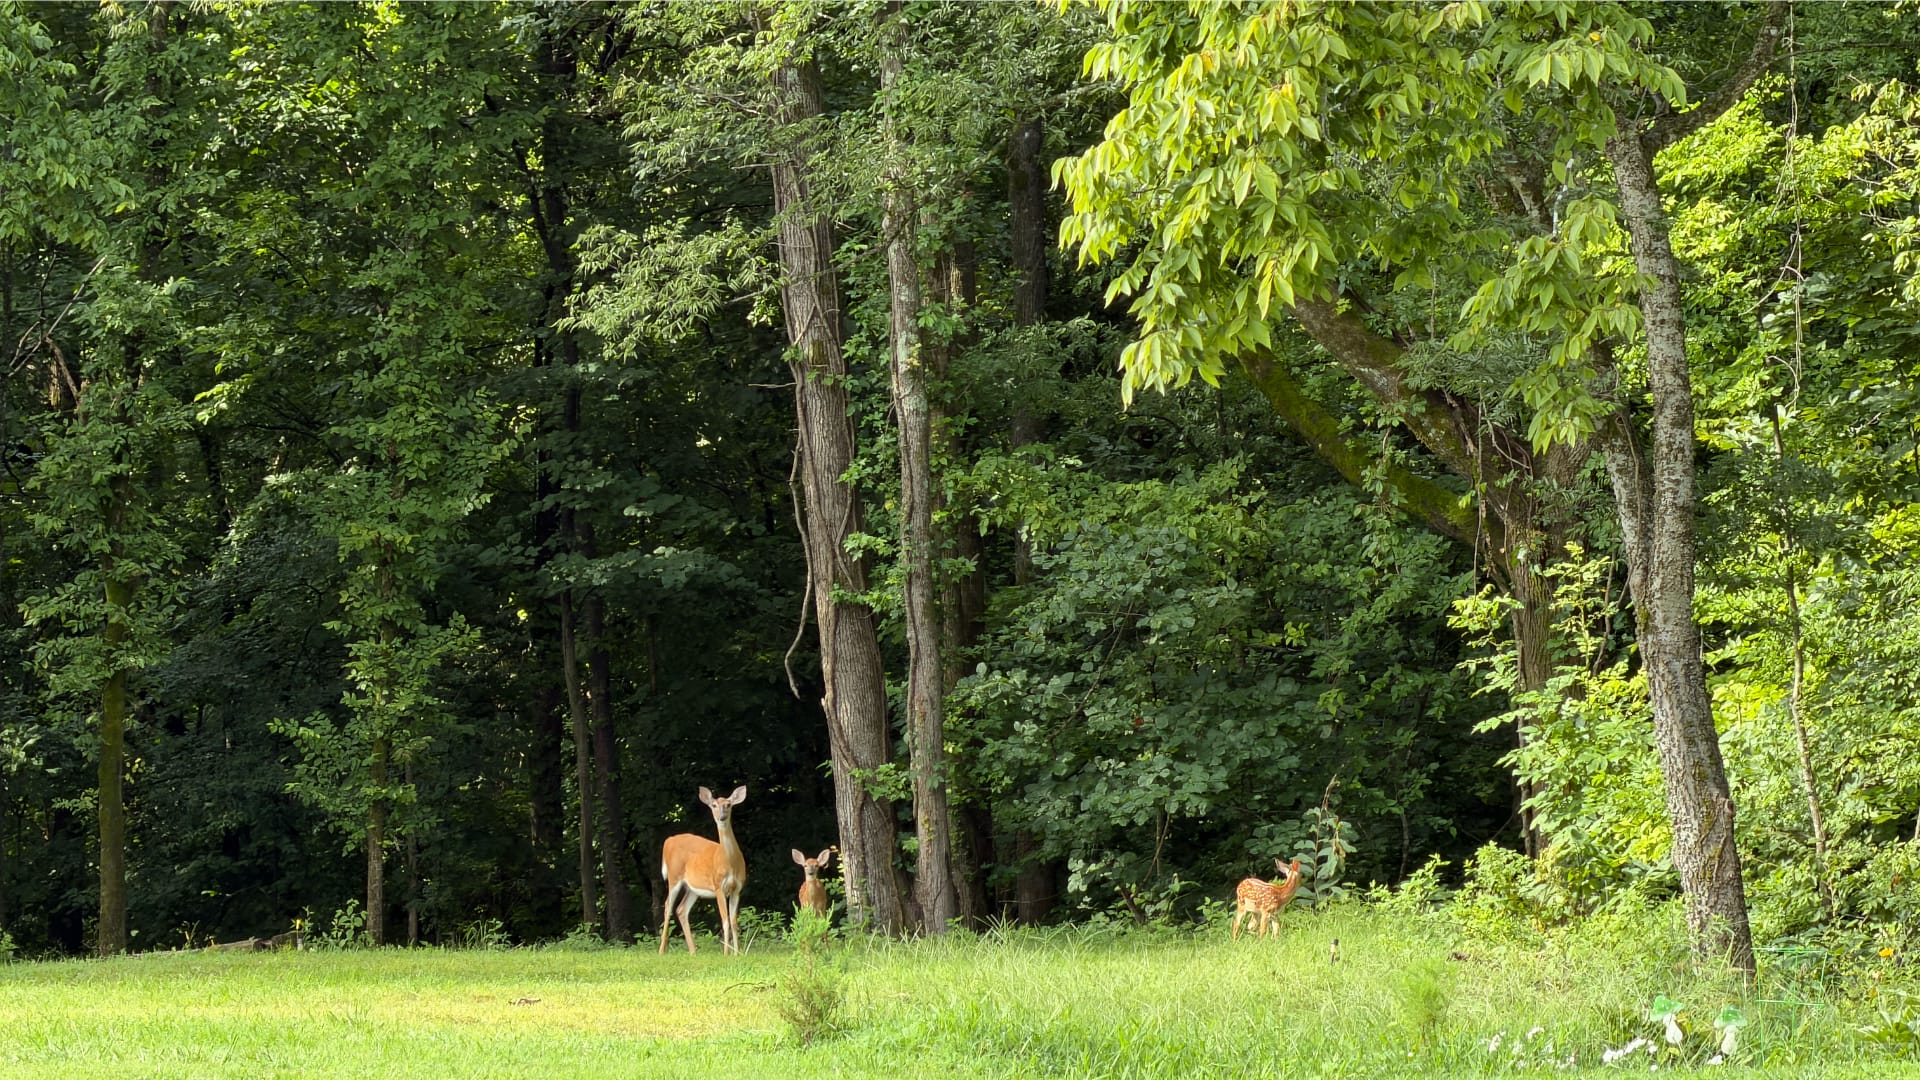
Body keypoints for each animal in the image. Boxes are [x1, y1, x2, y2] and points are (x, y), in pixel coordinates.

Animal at [659, 785, 748, 955]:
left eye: (728, 804)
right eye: (714, 805)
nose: (722, 817)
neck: (730, 862)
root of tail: (668, 840)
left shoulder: (737, 889)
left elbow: (734, 921)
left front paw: (737, 953)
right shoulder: (718, 886)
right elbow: (725, 920)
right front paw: (726, 954)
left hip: (693, 887)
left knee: (681, 909)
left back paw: (693, 950)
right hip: (674, 877)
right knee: (668, 906)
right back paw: (662, 950)